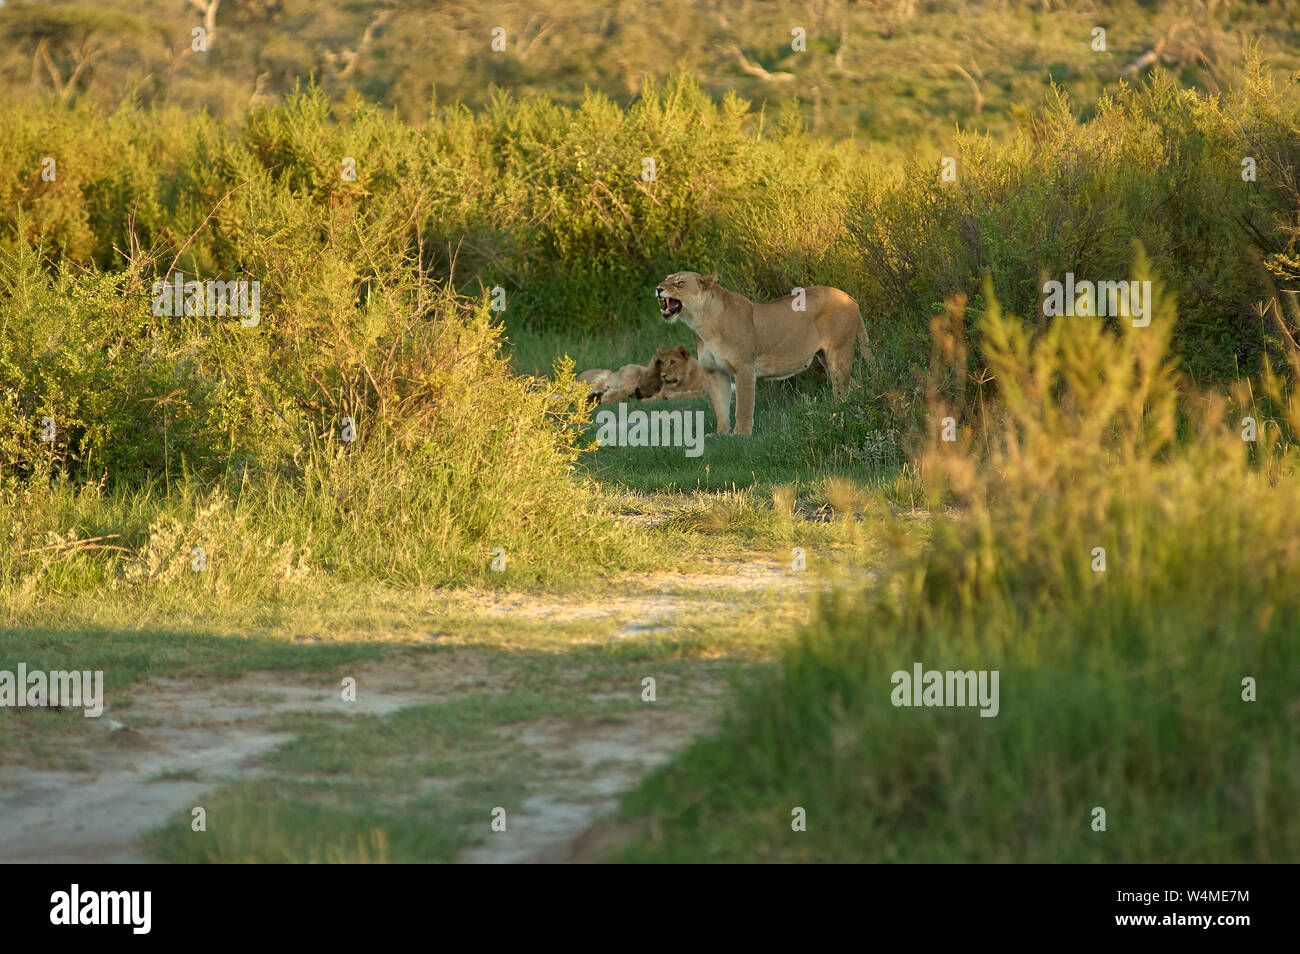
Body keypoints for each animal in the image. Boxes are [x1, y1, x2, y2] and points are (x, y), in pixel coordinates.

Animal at [655, 271, 868, 436]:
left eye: (680, 283)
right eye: (666, 279)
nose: (657, 289)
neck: (701, 323)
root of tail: (850, 298)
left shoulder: (744, 367)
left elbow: (743, 405)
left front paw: (740, 435)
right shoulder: (714, 371)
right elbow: (720, 406)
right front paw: (720, 434)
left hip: (839, 353)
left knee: (842, 390)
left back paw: (837, 413)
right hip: (826, 358)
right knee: (854, 386)